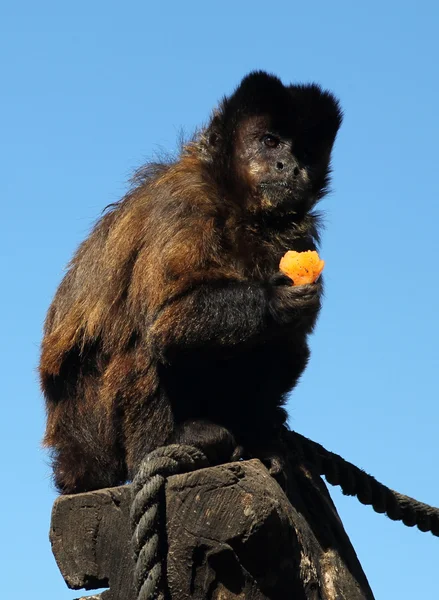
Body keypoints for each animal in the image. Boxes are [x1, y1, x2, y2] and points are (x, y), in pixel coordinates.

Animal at [40, 71, 344, 492]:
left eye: (306, 151)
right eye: (270, 141)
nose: (289, 166)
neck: (237, 204)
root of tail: (71, 456)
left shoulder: (300, 237)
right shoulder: (185, 203)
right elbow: (165, 325)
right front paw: (273, 298)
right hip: (93, 430)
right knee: (141, 340)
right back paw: (165, 444)